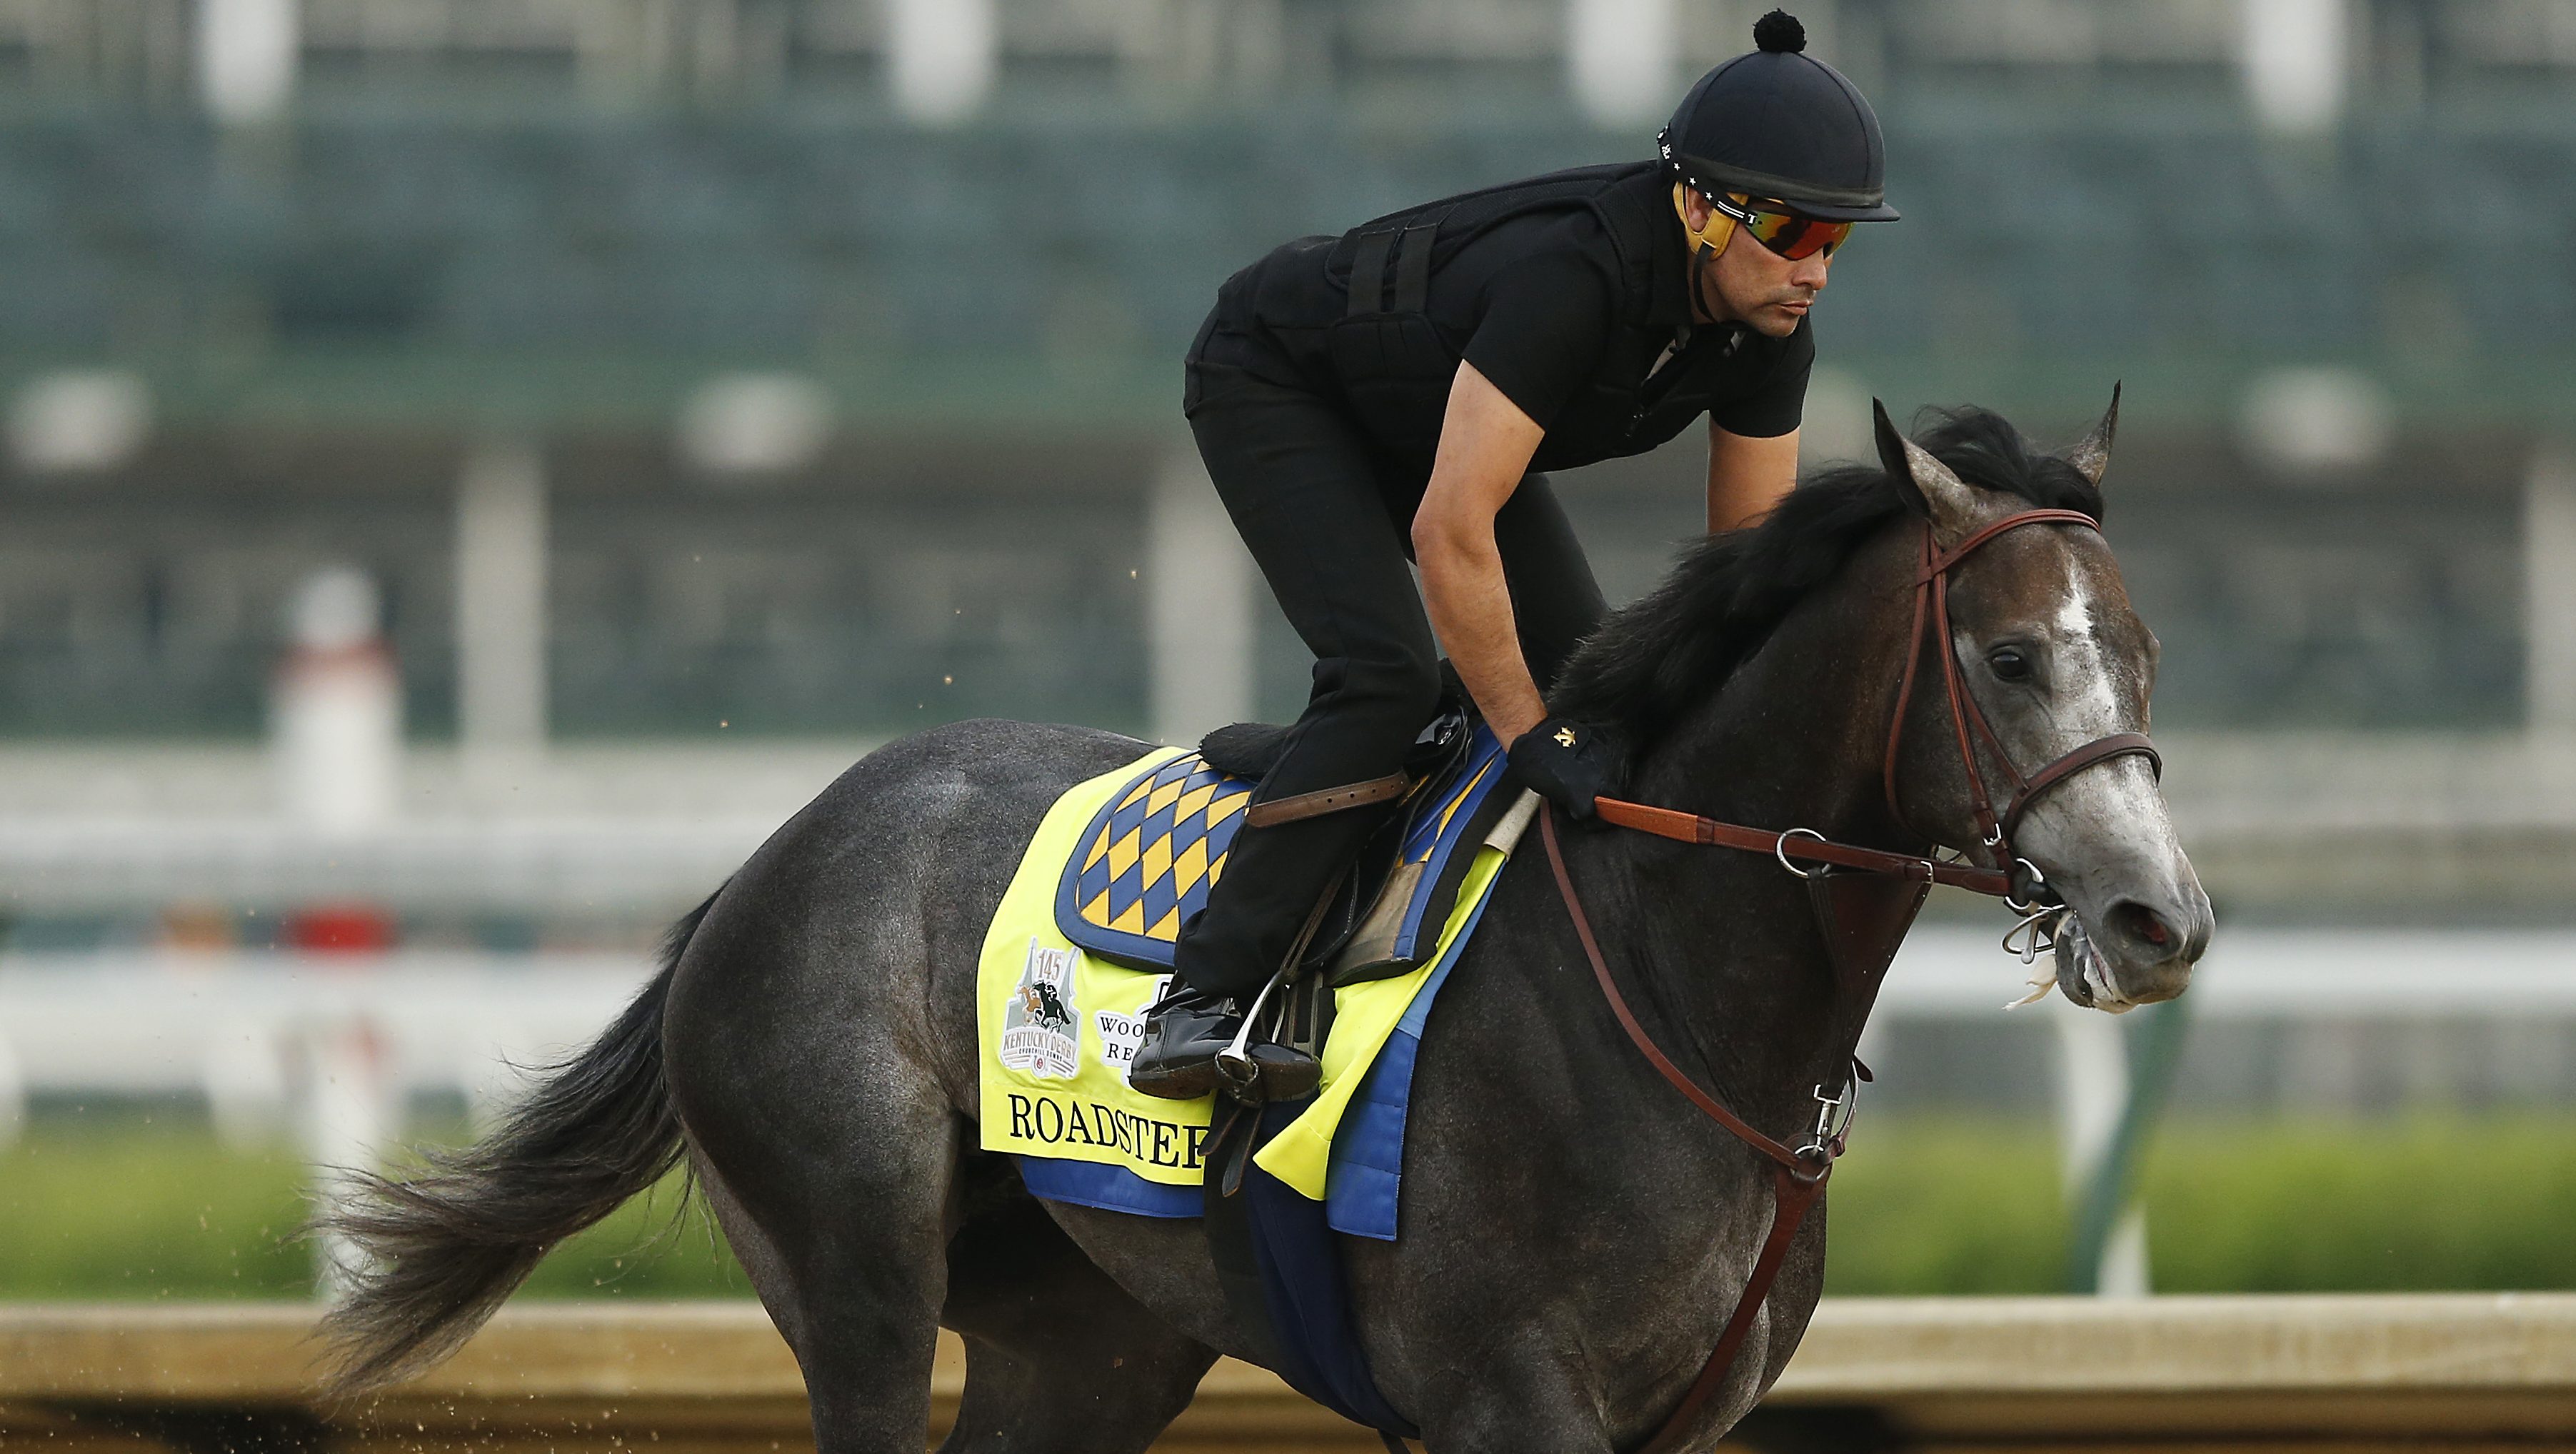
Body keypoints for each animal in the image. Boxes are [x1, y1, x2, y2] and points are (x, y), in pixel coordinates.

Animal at [316, 396, 2215, 1454]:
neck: (1670, 973)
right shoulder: (1510, 1397)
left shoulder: (1673, 1418)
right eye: (2010, 657)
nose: (2159, 916)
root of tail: (769, 857)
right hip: (854, 1280)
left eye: (2142, 652)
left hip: (1087, 1341)